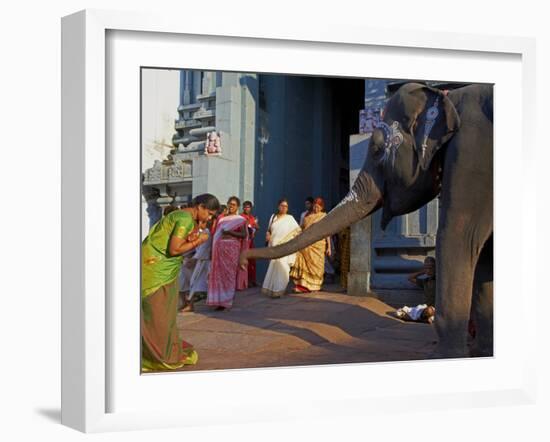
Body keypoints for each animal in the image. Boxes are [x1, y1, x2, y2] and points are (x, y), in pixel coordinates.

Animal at [242, 82, 496, 360]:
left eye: (376, 150)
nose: (243, 257)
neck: (450, 97)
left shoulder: (471, 156)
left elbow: (458, 237)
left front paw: (444, 356)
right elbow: (484, 255)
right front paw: (483, 352)